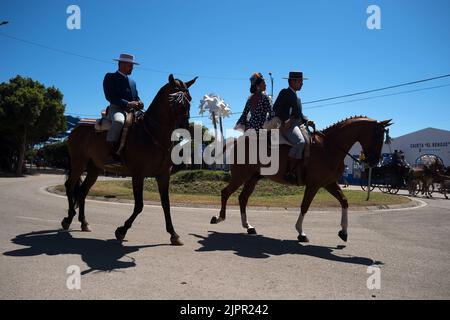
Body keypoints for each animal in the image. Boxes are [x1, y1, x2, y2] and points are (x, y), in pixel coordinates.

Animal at [61, 74, 197, 245]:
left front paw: (174, 234)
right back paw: (68, 219)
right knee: (70, 185)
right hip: (78, 163)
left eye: (189, 99)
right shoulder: (138, 175)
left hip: (94, 168)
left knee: (82, 191)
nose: (185, 128)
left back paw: (84, 222)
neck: (152, 133)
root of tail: (77, 127)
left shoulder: (163, 175)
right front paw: (121, 230)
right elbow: (139, 205)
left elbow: (166, 205)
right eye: (173, 100)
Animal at [210, 117, 390, 242]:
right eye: (378, 136)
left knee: (243, 198)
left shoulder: (329, 184)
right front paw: (301, 232)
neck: (328, 148)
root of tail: (237, 141)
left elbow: (344, 201)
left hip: (253, 178)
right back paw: (219, 218)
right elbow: (305, 206)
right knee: (226, 193)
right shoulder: (314, 185)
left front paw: (344, 232)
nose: (374, 162)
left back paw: (248, 226)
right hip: (241, 176)